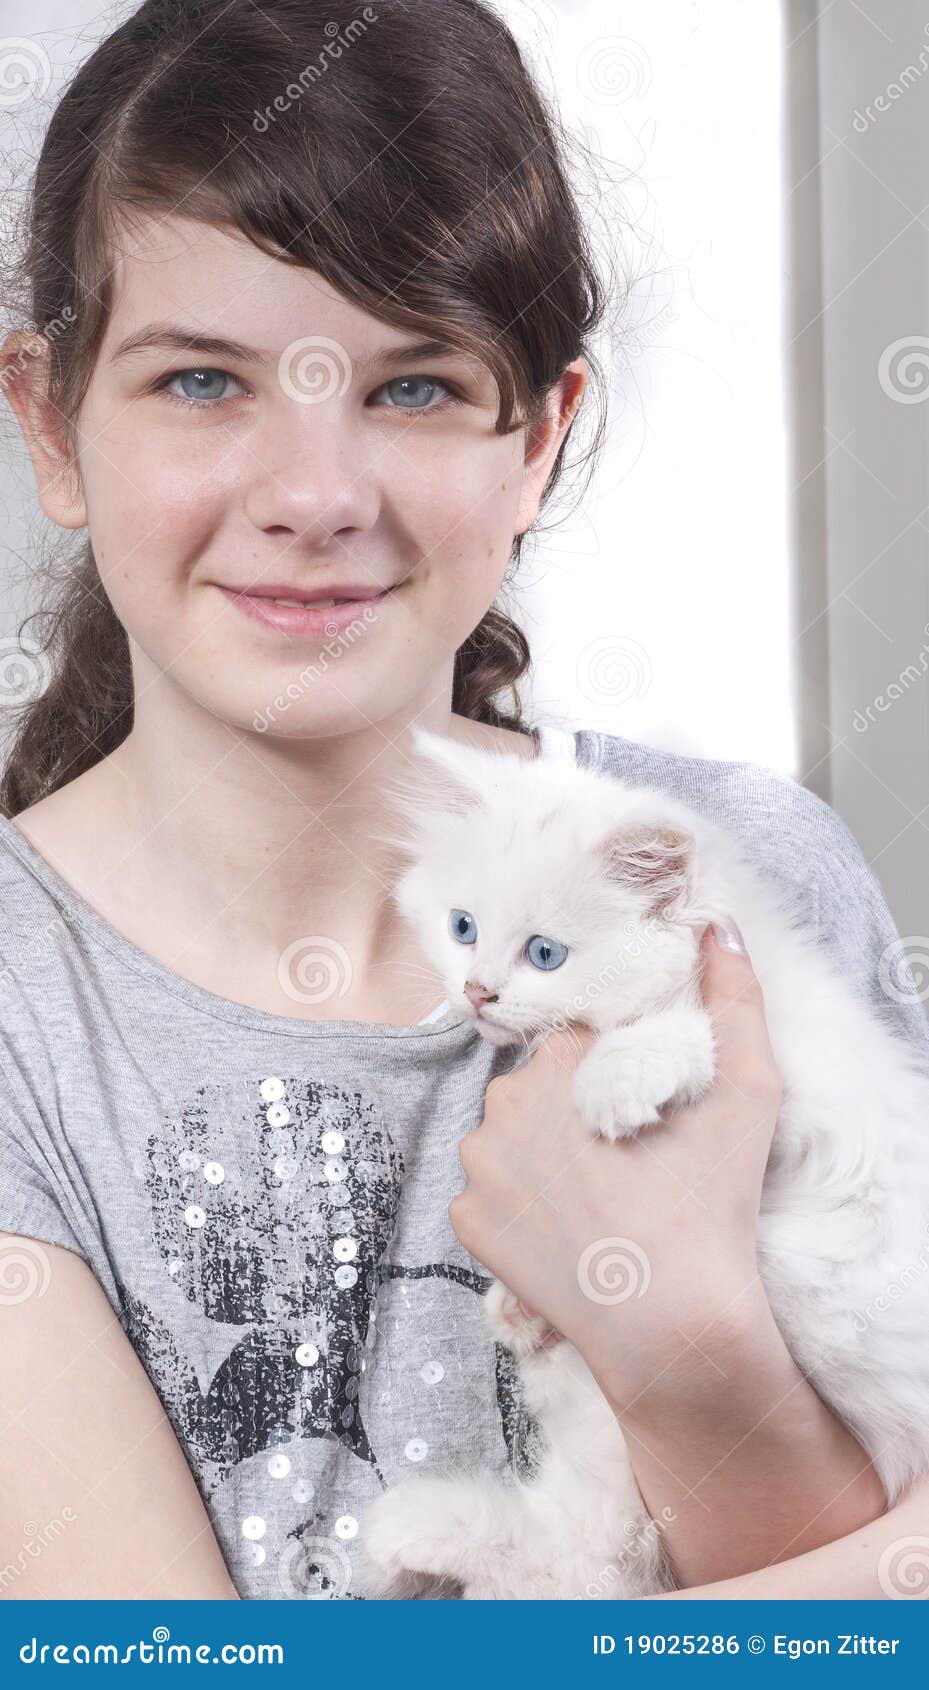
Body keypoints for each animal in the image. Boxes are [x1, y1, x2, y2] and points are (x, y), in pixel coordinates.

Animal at [359, 726, 929, 1595]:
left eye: (544, 953)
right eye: (462, 928)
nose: (478, 991)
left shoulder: (801, 1099)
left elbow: (687, 1033)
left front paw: (614, 1081)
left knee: (587, 1551)